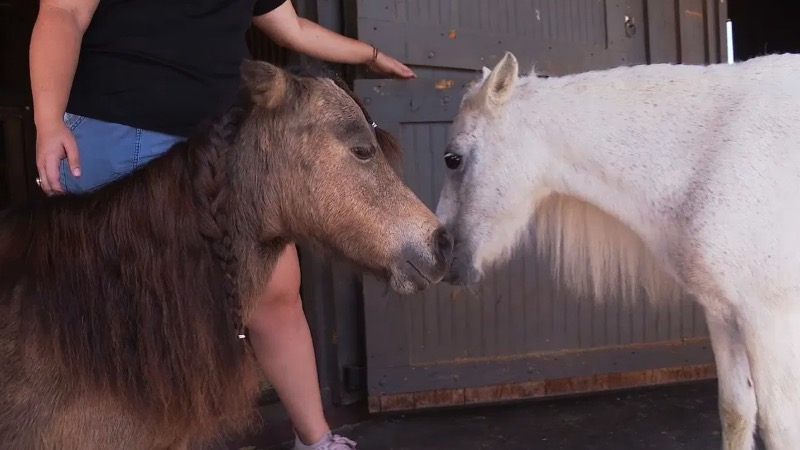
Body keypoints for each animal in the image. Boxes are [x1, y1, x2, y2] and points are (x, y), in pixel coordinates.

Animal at [434, 51, 800, 450]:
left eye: (453, 158)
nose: (442, 254)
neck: (714, 154)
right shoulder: (724, 316)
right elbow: (736, 413)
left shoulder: (768, 320)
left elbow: (780, 428)